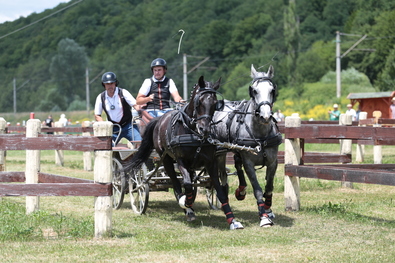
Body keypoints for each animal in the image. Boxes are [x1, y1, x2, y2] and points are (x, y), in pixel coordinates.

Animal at [127, 75, 244, 230]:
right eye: (199, 102)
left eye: (215, 103)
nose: (205, 129)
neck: (193, 132)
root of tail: (160, 119)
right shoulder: (181, 160)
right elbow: (187, 184)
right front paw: (186, 204)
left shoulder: (210, 162)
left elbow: (220, 190)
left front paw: (232, 220)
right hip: (166, 159)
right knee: (176, 183)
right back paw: (187, 208)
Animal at [212, 65, 284, 228]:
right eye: (254, 91)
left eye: (272, 90)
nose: (265, 116)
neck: (261, 134)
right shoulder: (249, 163)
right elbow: (257, 189)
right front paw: (263, 217)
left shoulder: (273, 162)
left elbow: (269, 187)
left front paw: (268, 209)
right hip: (219, 153)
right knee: (223, 175)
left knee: (237, 165)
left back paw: (241, 191)